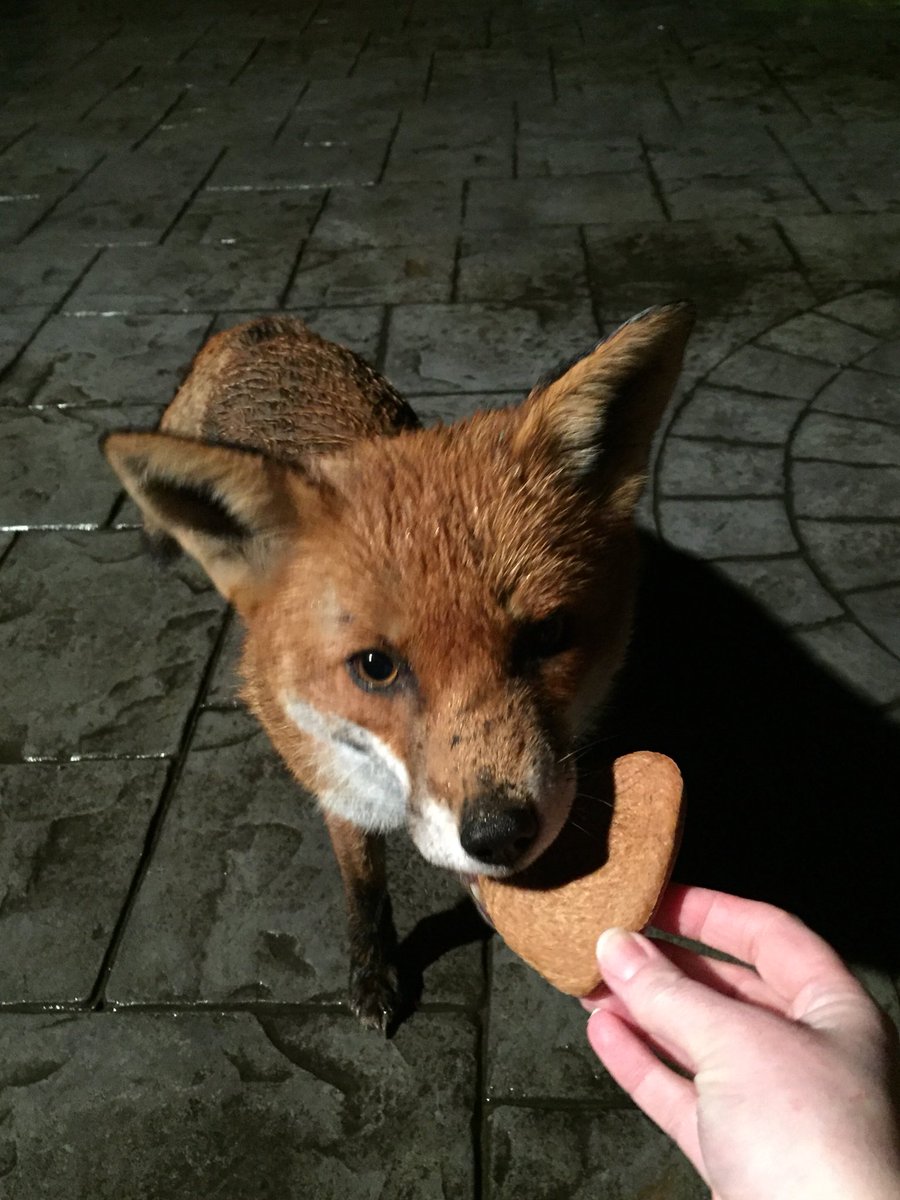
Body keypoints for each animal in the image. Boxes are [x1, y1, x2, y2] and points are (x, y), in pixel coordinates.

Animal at [105, 304, 696, 1036]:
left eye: (549, 635)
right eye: (374, 667)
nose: (500, 835)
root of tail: (261, 325)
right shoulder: (335, 782)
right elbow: (364, 887)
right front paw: (373, 968)